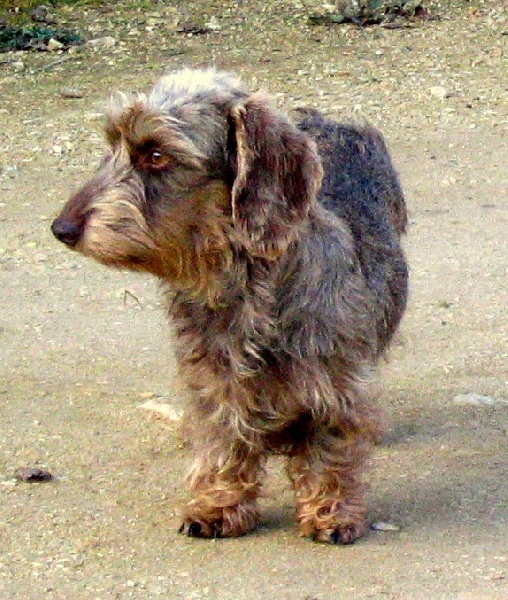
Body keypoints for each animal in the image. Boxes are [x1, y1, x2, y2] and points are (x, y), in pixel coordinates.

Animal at [51, 68, 408, 548]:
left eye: (157, 155)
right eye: (112, 144)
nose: (62, 228)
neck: (242, 284)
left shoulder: (333, 388)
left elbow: (328, 451)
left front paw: (331, 512)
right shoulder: (214, 383)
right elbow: (224, 443)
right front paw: (218, 505)